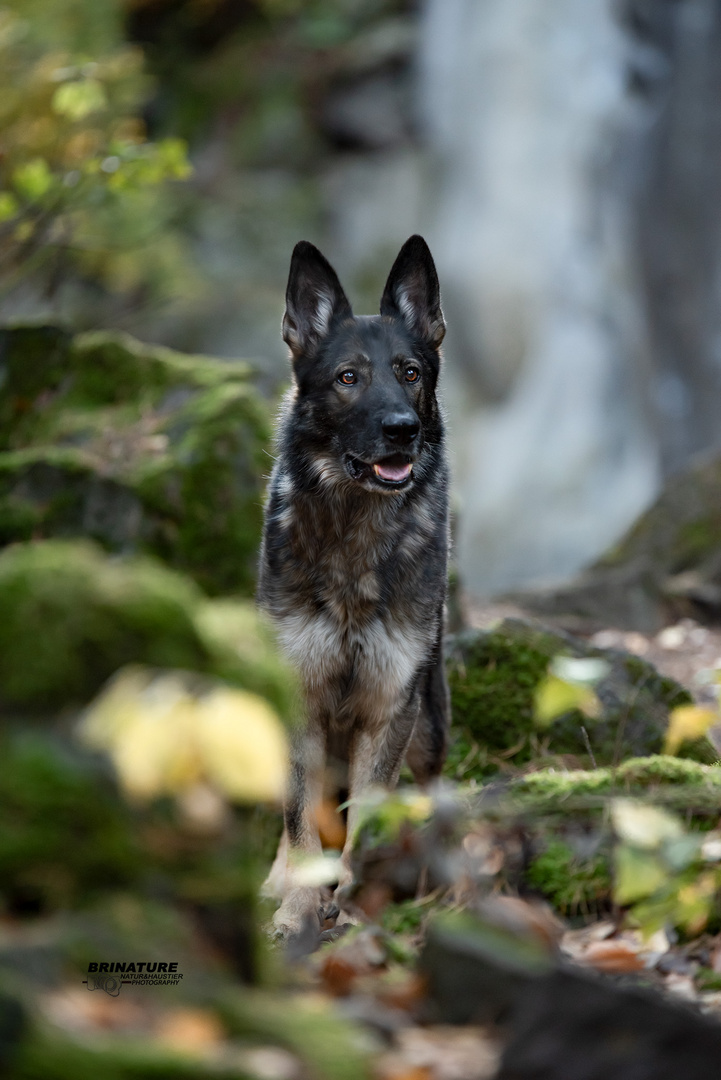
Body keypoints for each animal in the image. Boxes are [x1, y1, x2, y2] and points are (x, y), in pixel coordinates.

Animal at [259, 234, 451, 937]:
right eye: (349, 378)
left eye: (411, 373)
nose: (402, 429)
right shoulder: (299, 701)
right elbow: (300, 819)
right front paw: (297, 905)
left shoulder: (390, 709)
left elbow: (368, 817)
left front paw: (355, 904)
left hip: (429, 729)